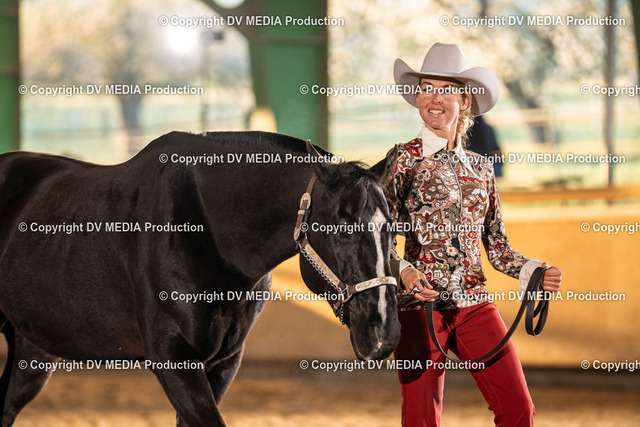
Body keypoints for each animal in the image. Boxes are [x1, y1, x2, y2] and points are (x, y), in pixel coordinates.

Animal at [0, 131, 401, 426]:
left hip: (32, 350)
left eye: (394, 229)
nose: (384, 333)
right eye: (344, 231)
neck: (208, 229)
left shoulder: (223, 362)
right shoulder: (173, 359)